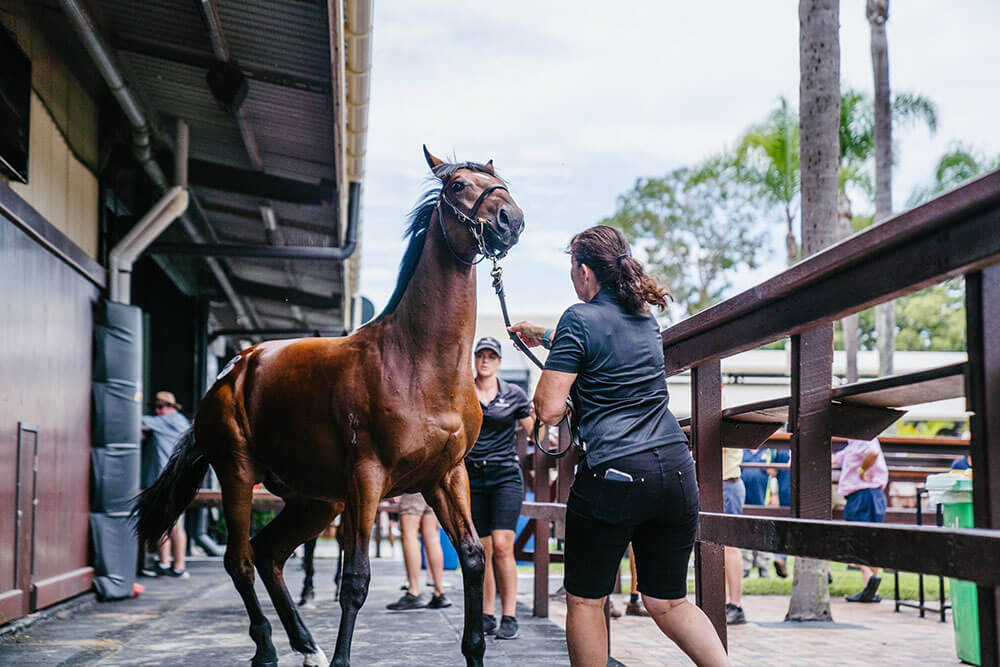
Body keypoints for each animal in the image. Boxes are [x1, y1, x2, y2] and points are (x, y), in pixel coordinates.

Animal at [137, 150, 528, 667]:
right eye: (459, 184)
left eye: (499, 181)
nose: (511, 220)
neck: (417, 360)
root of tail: (232, 370)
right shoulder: (367, 478)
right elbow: (356, 579)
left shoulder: (446, 477)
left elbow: (472, 557)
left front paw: (475, 650)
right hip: (239, 475)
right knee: (240, 560)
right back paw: (267, 647)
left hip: (315, 501)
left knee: (268, 553)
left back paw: (306, 644)